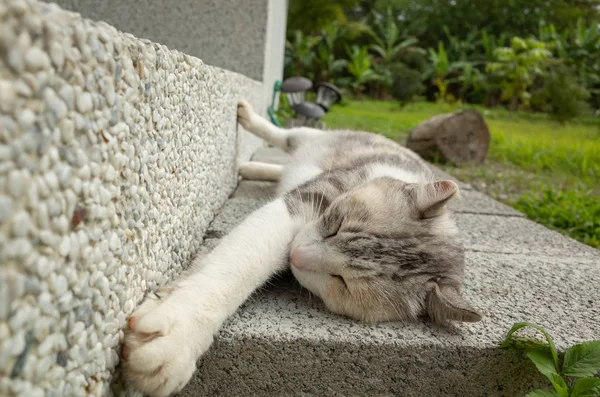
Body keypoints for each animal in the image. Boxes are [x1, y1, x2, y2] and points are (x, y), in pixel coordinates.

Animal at [122, 100, 482, 394]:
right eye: (335, 225)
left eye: (343, 283)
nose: (295, 255)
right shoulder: (301, 204)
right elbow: (239, 264)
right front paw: (178, 335)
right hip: (311, 137)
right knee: (285, 136)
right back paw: (248, 119)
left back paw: (253, 168)